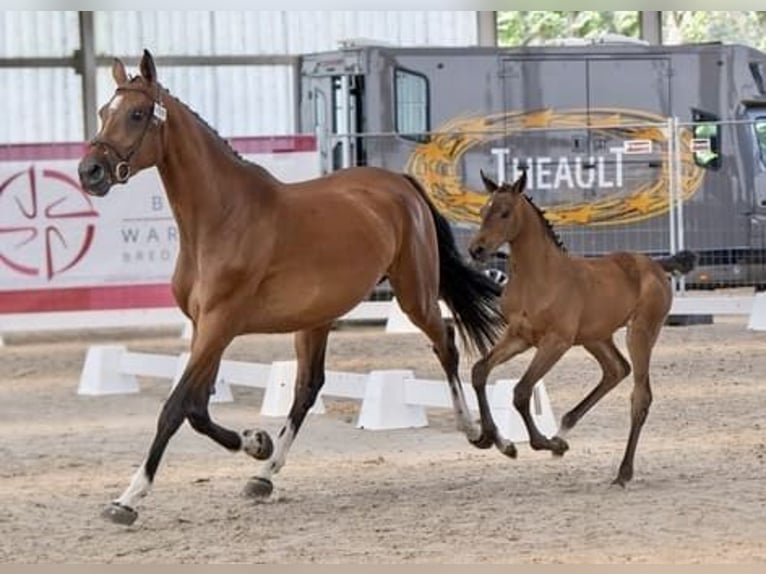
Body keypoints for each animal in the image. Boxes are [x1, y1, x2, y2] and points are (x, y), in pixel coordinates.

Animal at [78, 50, 508, 528]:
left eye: (137, 114)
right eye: (104, 112)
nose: (90, 172)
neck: (221, 218)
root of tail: (400, 185)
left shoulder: (219, 324)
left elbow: (175, 408)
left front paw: (127, 499)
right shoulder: (207, 327)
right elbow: (196, 408)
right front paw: (255, 442)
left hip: (414, 293)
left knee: (445, 343)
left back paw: (479, 432)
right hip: (318, 317)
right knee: (308, 387)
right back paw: (264, 474)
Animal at [468, 170, 696, 486]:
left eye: (504, 212)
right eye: (482, 211)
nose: (476, 249)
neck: (538, 278)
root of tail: (655, 265)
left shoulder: (556, 342)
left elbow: (522, 391)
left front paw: (544, 443)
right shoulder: (518, 336)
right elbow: (480, 371)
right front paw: (495, 441)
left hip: (640, 333)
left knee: (640, 396)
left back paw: (622, 472)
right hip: (595, 337)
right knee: (616, 369)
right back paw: (564, 428)